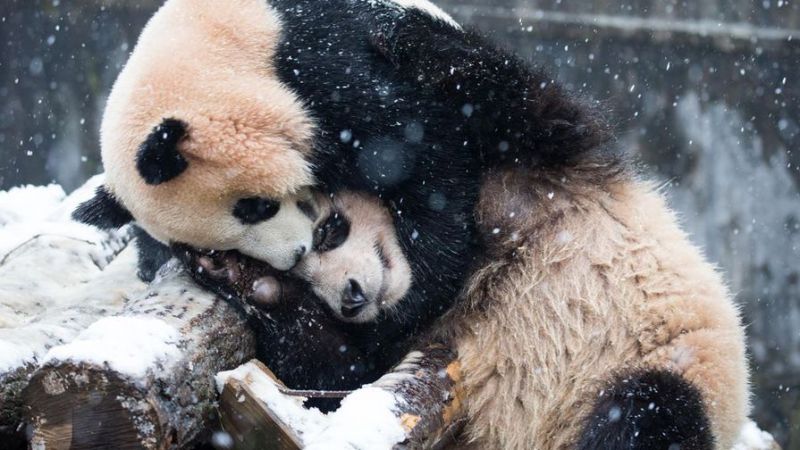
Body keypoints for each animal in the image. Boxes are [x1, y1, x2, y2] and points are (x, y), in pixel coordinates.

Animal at [75, 0, 752, 448]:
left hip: (669, 359)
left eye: (257, 207)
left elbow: (446, 127)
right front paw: (241, 280)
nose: (350, 297)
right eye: (265, 245)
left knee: (647, 417)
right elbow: (335, 372)